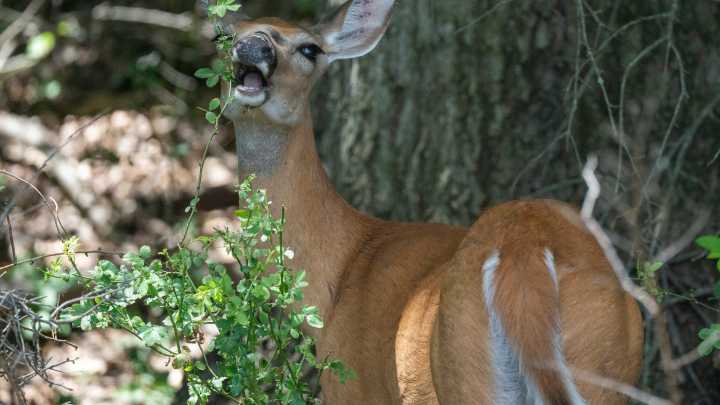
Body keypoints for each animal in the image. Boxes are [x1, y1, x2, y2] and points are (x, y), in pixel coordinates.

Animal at [211, 0, 644, 403]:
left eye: (309, 48)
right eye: (224, 36)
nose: (253, 46)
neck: (338, 274)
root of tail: (526, 251)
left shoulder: (352, 385)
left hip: (464, 366)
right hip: (605, 353)